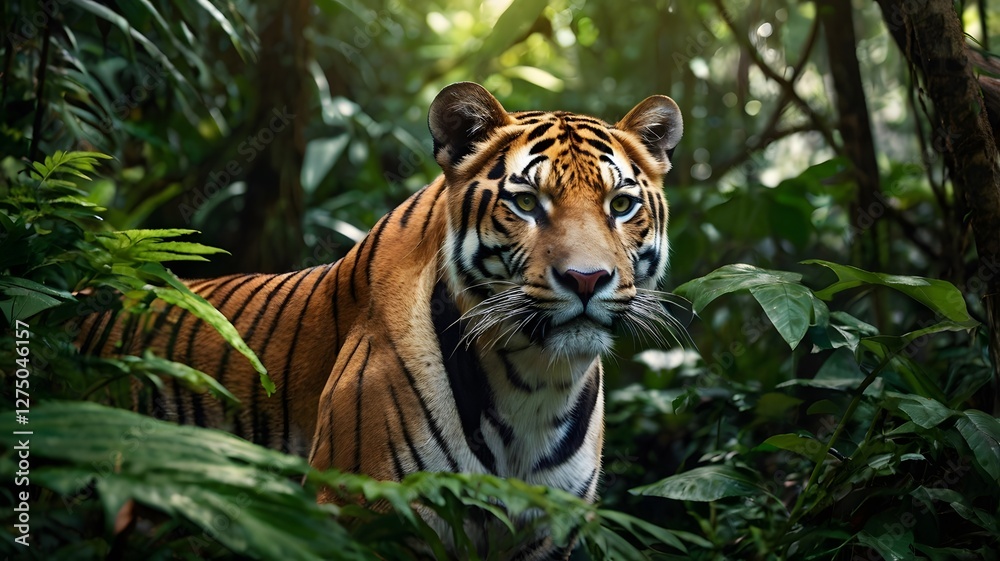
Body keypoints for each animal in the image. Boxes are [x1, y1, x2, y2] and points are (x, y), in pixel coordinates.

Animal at [77, 81, 684, 559]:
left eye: (621, 205)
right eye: (528, 204)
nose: (586, 279)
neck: (534, 380)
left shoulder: (546, 532)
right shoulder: (361, 510)